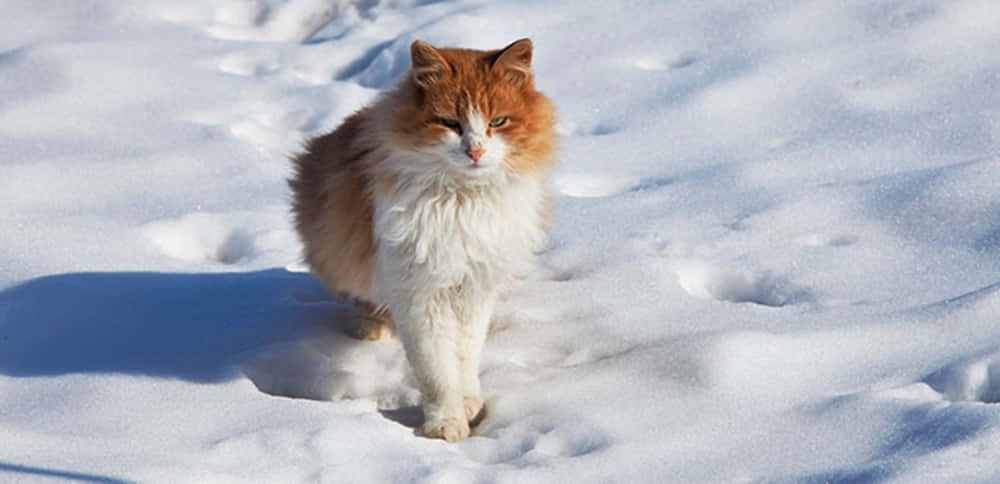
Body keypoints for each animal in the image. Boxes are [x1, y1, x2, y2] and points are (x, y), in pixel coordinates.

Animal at [290, 37, 560, 440]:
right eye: (450, 123)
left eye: (498, 122)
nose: (475, 150)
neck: (464, 201)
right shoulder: (419, 292)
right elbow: (437, 368)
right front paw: (445, 423)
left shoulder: (474, 288)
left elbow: (465, 356)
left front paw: (468, 403)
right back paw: (371, 328)